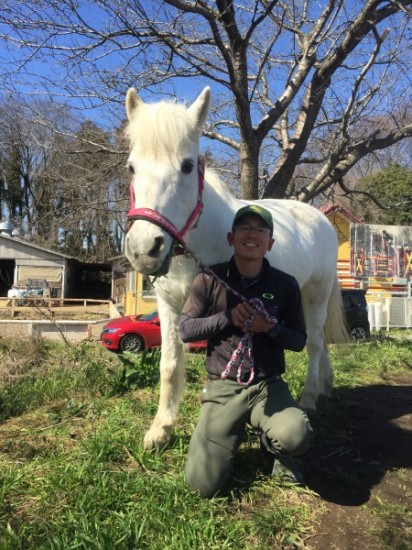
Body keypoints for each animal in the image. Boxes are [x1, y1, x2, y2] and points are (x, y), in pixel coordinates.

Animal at [123, 87, 348, 452]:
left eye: (187, 166)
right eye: (131, 167)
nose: (144, 249)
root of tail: (321, 219)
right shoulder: (169, 306)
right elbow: (169, 364)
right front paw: (161, 429)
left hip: (317, 293)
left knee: (314, 343)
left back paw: (310, 398)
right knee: (320, 343)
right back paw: (325, 386)